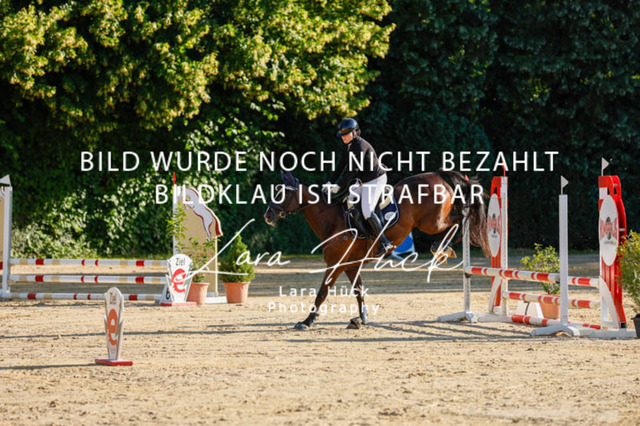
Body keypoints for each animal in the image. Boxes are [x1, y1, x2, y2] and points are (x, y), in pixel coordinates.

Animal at [264, 170, 490, 330]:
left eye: (284, 193)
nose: (268, 215)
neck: (332, 220)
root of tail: (437, 175)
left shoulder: (335, 265)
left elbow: (322, 293)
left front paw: (307, 321)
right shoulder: (351, 266)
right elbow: (359, 291)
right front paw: (361, 319)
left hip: (432, 223)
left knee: (460, 219)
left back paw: (441, 248)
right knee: (460, 218)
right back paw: (443, 248)